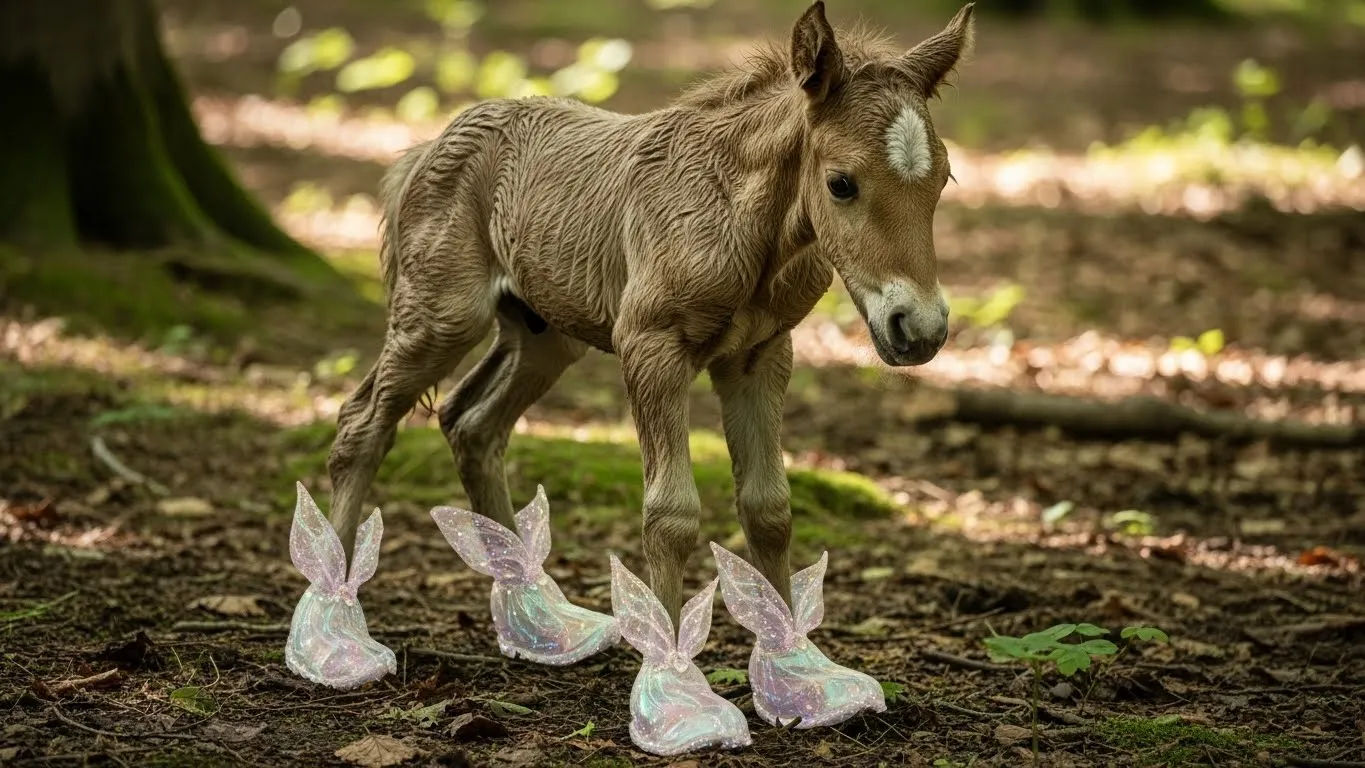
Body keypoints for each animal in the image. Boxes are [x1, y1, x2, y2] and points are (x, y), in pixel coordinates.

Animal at [326, 1, 973, 628]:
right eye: (841, 183)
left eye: (944, 179)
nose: (920, 328)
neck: (742, 222)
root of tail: (424, 149)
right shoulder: (649, 345)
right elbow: (670, 515)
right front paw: (668, 663)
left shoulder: (761, 354)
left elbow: (769, 508)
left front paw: (793, 658)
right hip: (442, 314)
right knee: (362, 426)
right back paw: (333, 611)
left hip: (546, 335)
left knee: (472, 424)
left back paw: (538, 619)